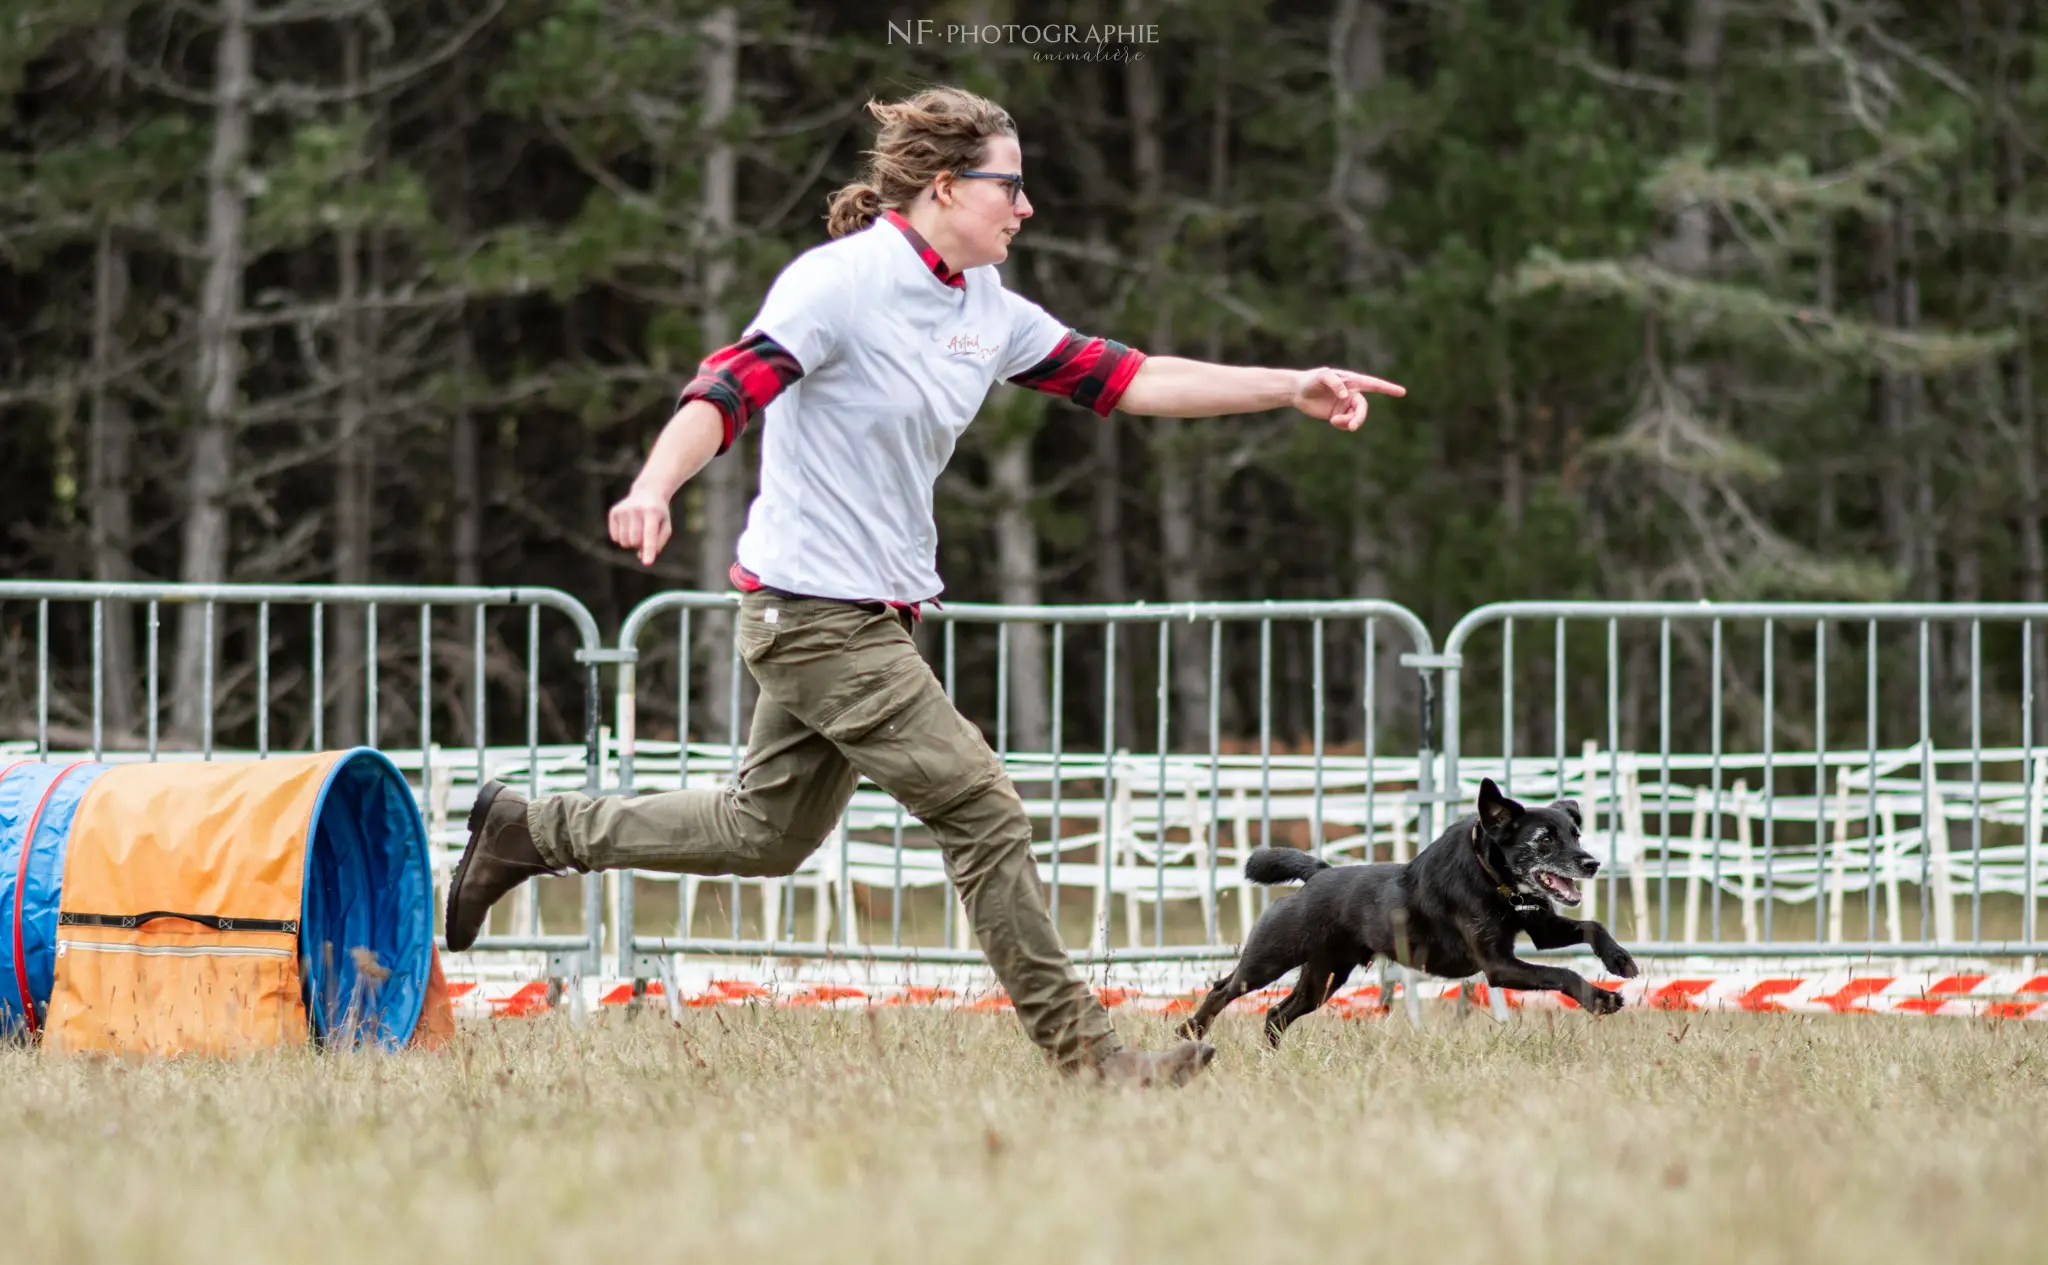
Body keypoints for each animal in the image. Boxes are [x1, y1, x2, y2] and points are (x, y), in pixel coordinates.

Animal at [1179, 777, 1638, 1043]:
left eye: (1575, 834)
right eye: (1544, 839)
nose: (1592, 863)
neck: (1492, 878)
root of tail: (1316, 875)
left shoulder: (1542, 930)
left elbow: (1592, 925)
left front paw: (1620, 960)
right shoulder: (1498, 966)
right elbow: (1562, 974)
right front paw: (1600, 999)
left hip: (1324, 977)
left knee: (1277, 1013)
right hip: (1270, 957)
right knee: (1223, 989)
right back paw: (1191, 1031)